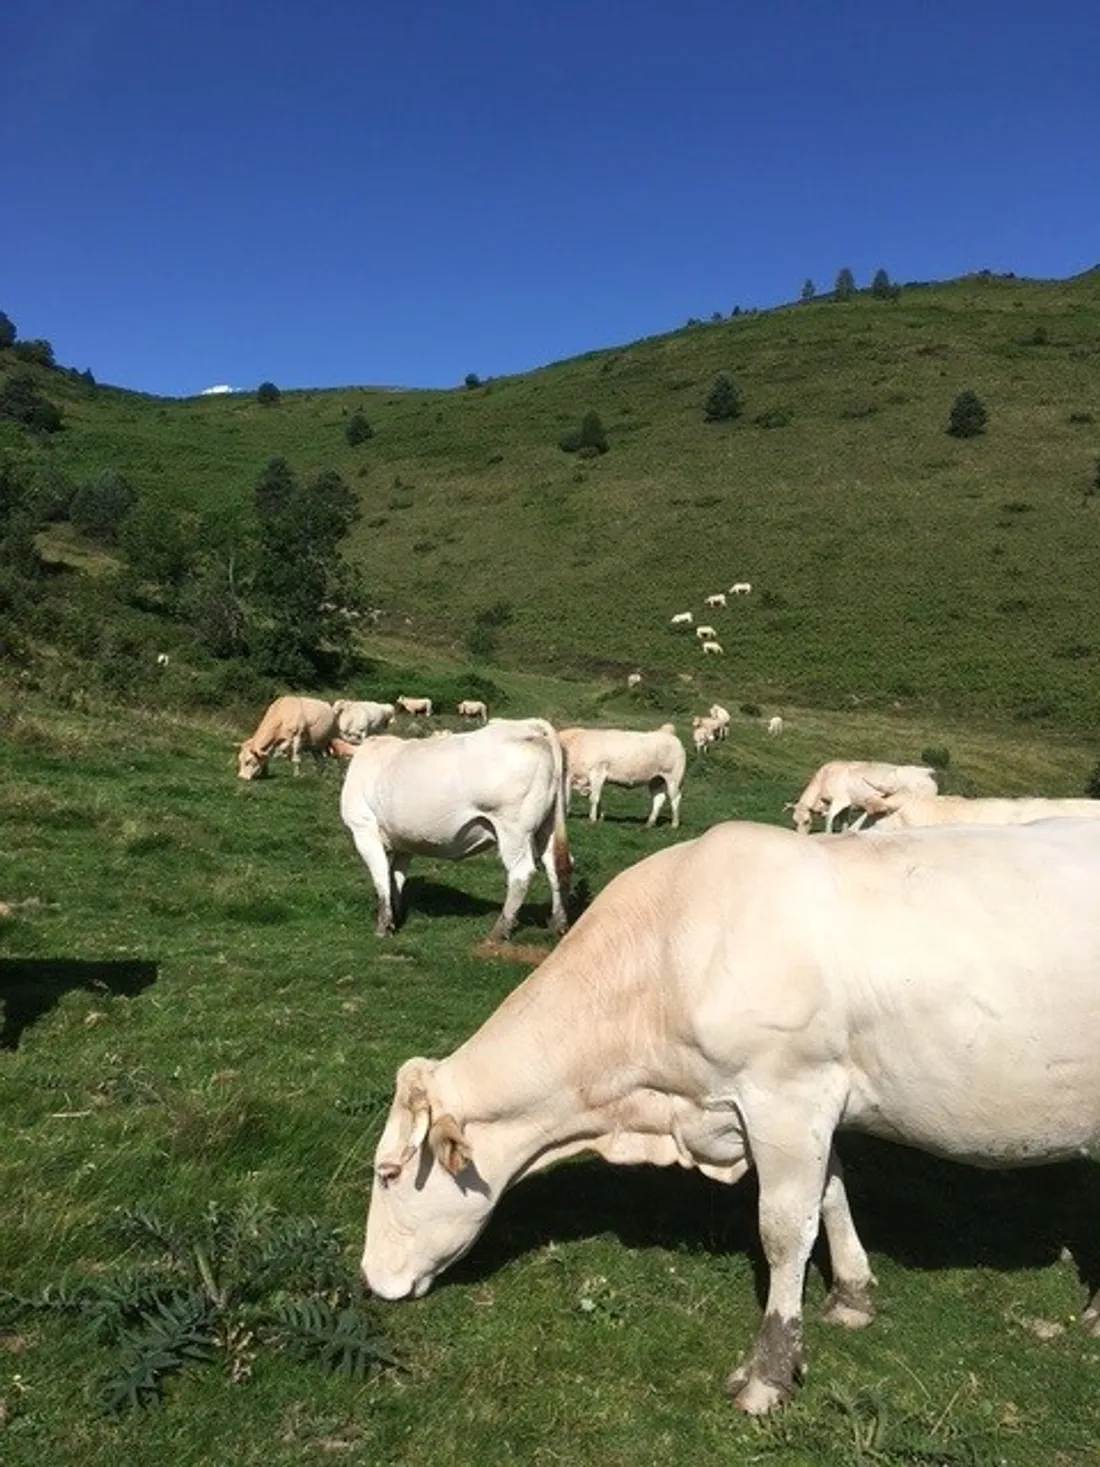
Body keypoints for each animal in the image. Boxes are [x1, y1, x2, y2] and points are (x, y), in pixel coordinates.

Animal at [339, 718, 570, 941]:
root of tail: (526, 727)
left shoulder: (363, 828)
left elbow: (381, 877)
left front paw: (383, 926)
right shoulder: (404, 841)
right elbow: (396, 877)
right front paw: (396, 918)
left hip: (513, 829)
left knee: (521, 873)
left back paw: (499, 931)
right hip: (548, 826)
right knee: (556, 866)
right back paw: (559, 924)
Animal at [362, 818, 1100, 1413]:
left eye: (389, 1172)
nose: (371, 1279)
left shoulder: (786, 1092)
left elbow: (783, 1231)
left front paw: (769, 1373)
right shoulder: (810, 1103)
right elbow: (831, 1195)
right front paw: (852, 1295)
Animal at [790, 760, 937, 835]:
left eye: (807, 821)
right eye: (795, 821)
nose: (801, 836)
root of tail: (924, 772)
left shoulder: (840, 801)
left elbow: (829, 819)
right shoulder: (847, 806)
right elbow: (843, 824)